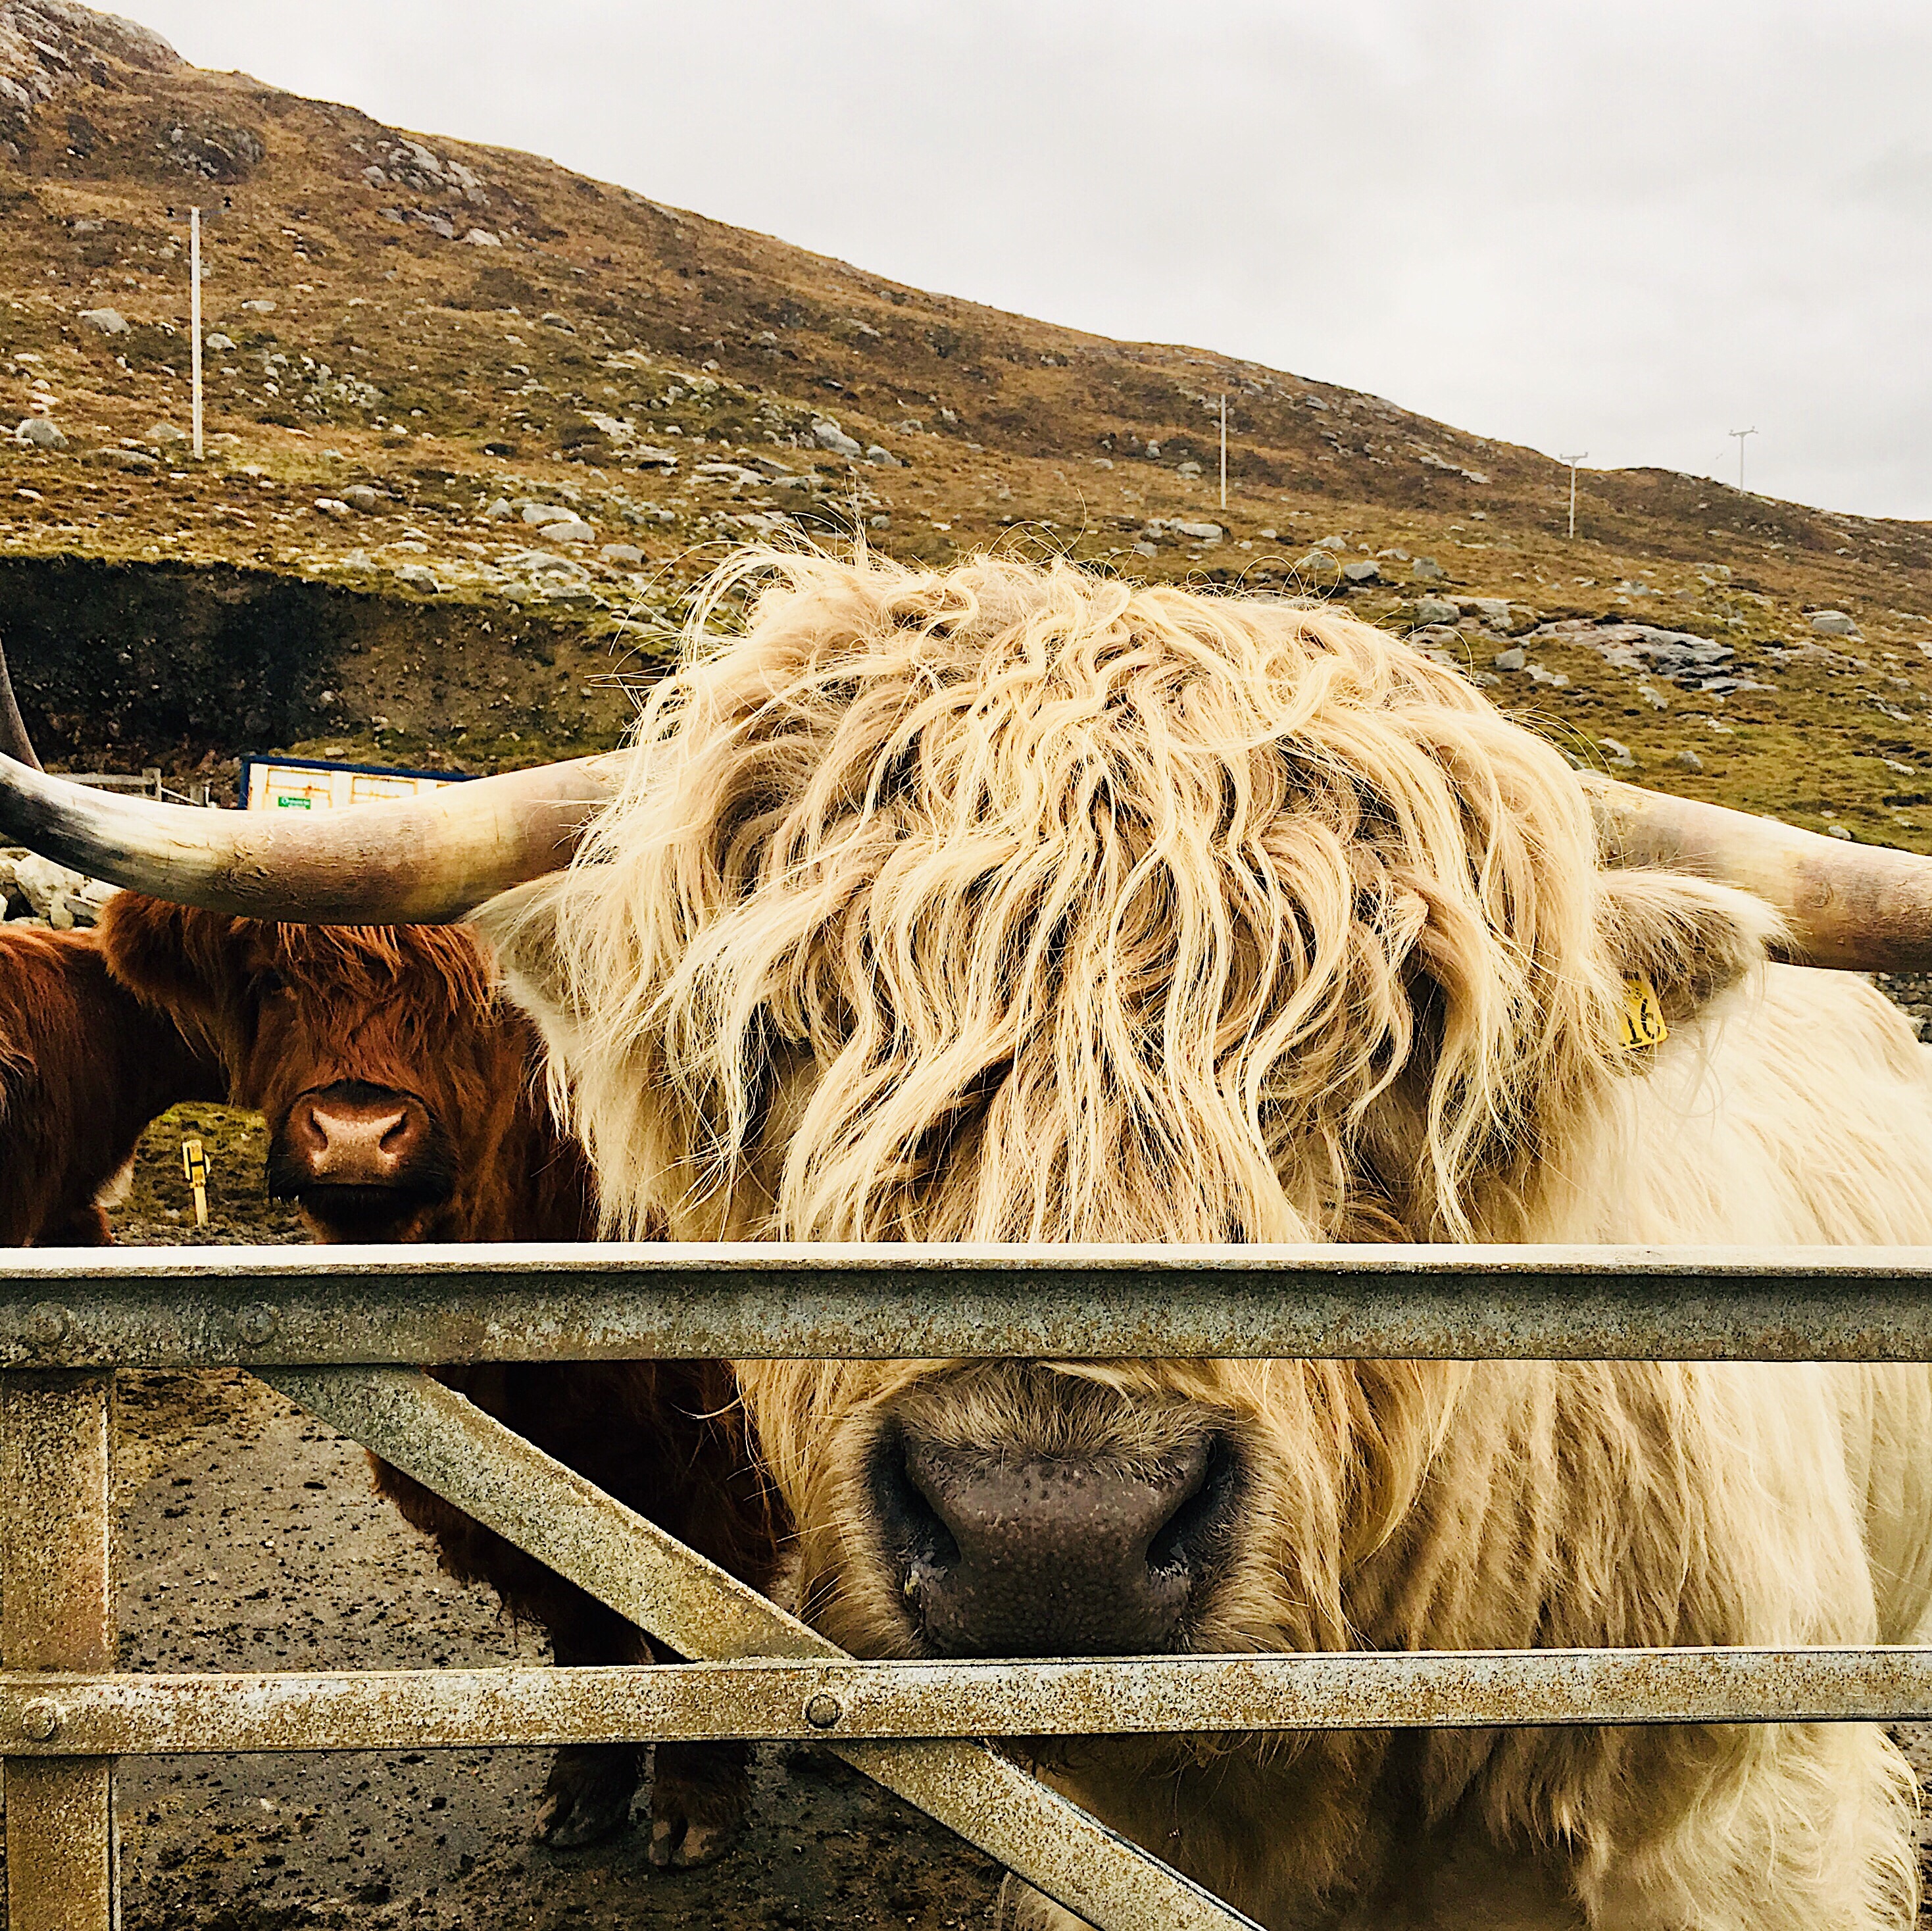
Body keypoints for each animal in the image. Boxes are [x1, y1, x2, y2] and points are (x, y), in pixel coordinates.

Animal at [97, 892, 782, 1863]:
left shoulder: (722, 1460)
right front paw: (583, 1791)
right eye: (272, 981)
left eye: (491, 993)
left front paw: (695, 1810)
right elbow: (588, 1626)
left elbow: (720, 1629)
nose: (354, 1139)